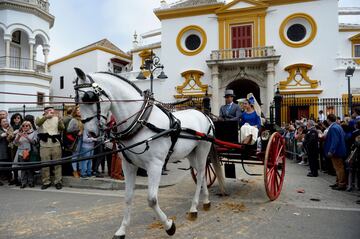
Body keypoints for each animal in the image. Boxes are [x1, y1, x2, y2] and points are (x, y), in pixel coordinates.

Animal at [74, 68, 225, 238]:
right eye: (76, 100)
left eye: (88, 97)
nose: (91, 133)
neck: (140, 121)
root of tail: (204, 115)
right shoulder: (128, 166)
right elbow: (128, 197)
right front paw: (122, 229)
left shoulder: (155, 165)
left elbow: (152, 200)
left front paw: (169, 226)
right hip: (191, 154)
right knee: (202, 173)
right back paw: (205, 202)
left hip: (202, 150)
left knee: (200, 176)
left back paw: (194, 208)